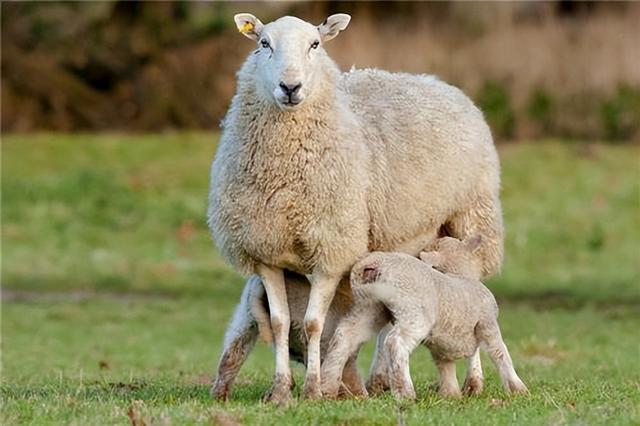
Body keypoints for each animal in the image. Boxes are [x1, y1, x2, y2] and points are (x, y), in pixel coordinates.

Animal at [208, 10, 502, 402]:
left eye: (315, 44)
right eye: (263, 43)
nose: (290, 87)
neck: (286, 178)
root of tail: (436, 81)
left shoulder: (331, 251)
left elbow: (314, 323)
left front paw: (313, 389)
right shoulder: (265, 251)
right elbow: (280, 322)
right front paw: (282, 391)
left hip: (470, 218)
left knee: (470, 285)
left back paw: (474, 381)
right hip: (403, 246)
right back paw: (378, 381)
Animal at [322, 236, 528, 400]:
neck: (460, 274)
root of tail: (374, 264)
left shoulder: (441, 345)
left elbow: (445, 368)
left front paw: (450, 395)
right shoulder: (487, 322)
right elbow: (499, 353)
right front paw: (518, 389)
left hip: (369, 307)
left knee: (344, 335)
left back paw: (328, 388)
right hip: (413, 312)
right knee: (395, 342)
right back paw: (405, 392)